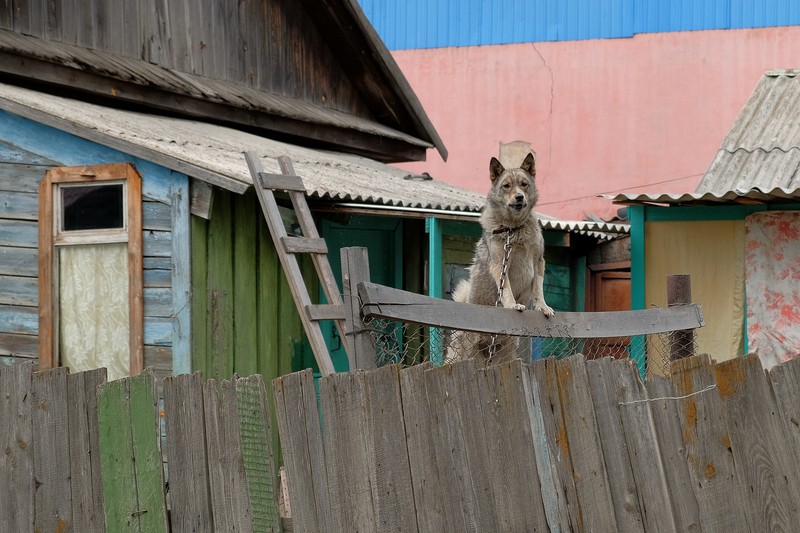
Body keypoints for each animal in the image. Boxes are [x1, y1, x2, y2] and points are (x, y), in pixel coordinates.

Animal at [446, 152, 552, 362]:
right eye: (506, 186)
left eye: (524, 184)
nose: (519, 197)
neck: (514, 228)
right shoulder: (500, 264)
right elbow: (507, 289)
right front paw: (512, 305)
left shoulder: (538, 261)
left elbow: (539, 288)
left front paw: (542, 307)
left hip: (507, 355)